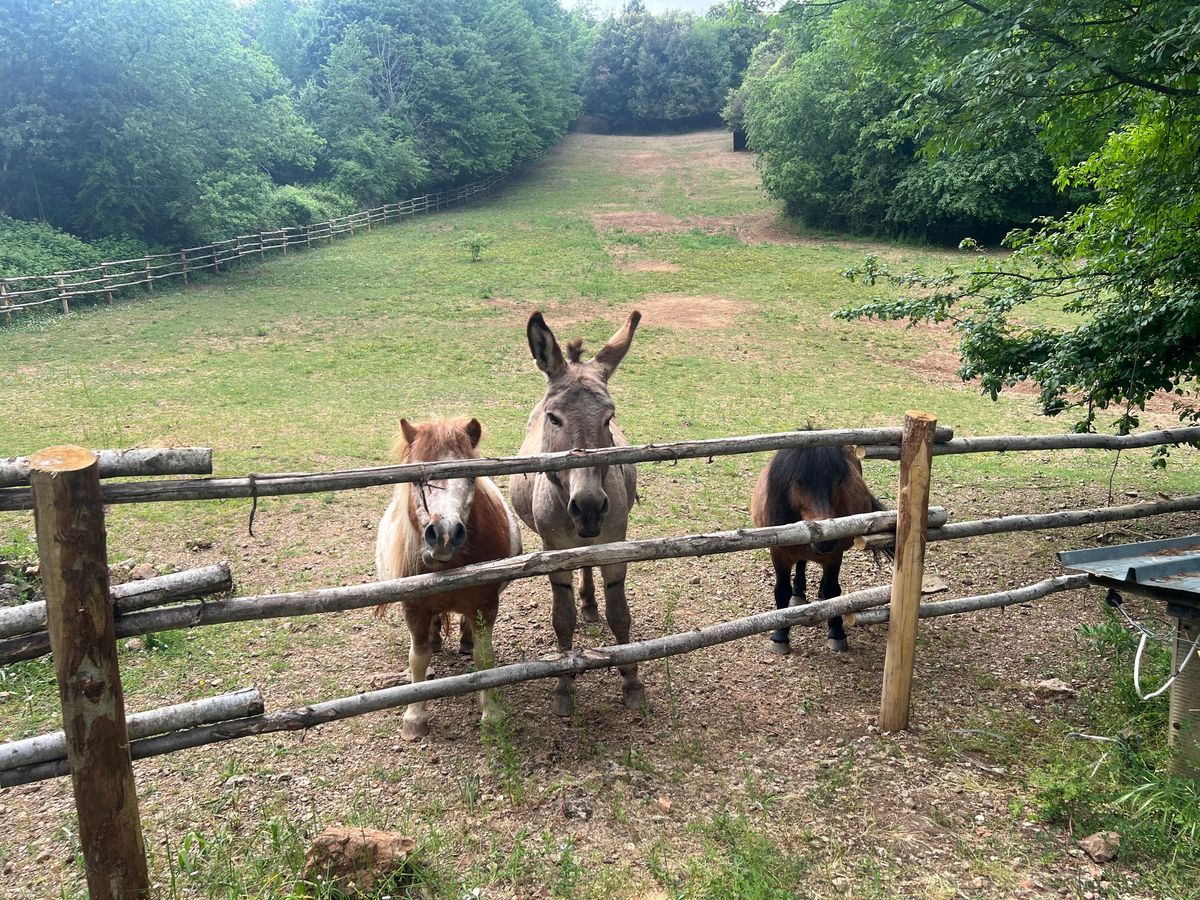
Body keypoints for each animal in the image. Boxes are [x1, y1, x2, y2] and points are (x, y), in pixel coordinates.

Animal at [753, 448, 888, 657]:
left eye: (839, 480)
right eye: (798, 481)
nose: (826, 541)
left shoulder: (834, 556)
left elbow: (833, 591)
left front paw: (836, 633)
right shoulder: (778, 554)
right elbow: (781, 591)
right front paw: (780, 636)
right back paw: (798, 594)